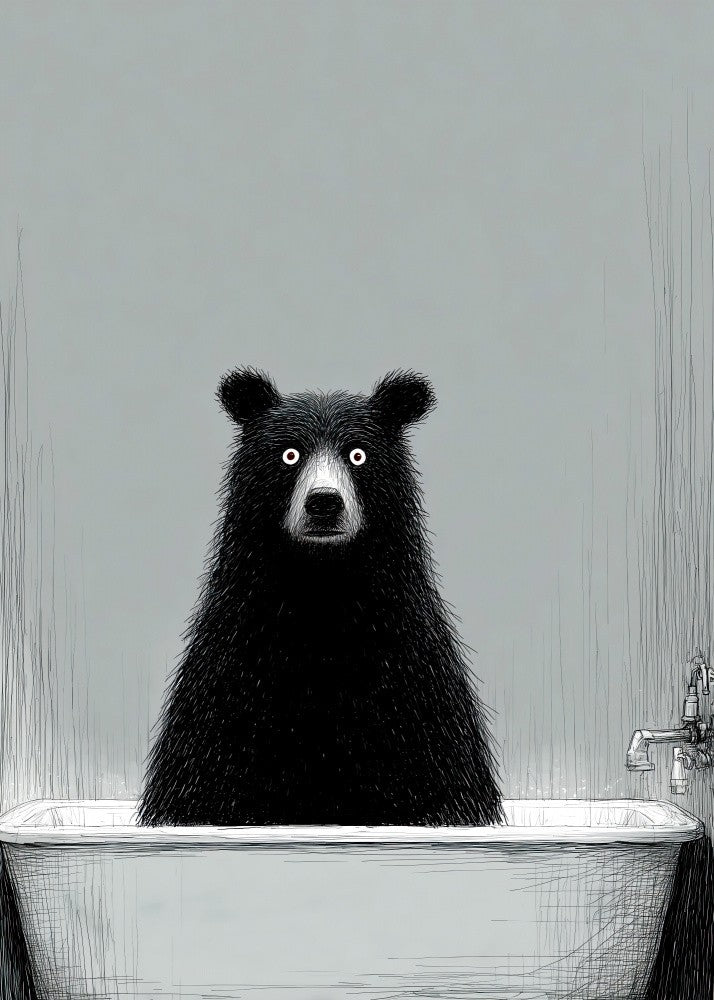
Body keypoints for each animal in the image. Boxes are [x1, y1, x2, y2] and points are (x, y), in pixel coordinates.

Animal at [137, 368, 504, 827]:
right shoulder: (228, 683)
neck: (322, 596)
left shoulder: (414, 688)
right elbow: (205, 781)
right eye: (289, 455)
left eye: (358, 456)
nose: (324, 503)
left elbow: (441, 780)